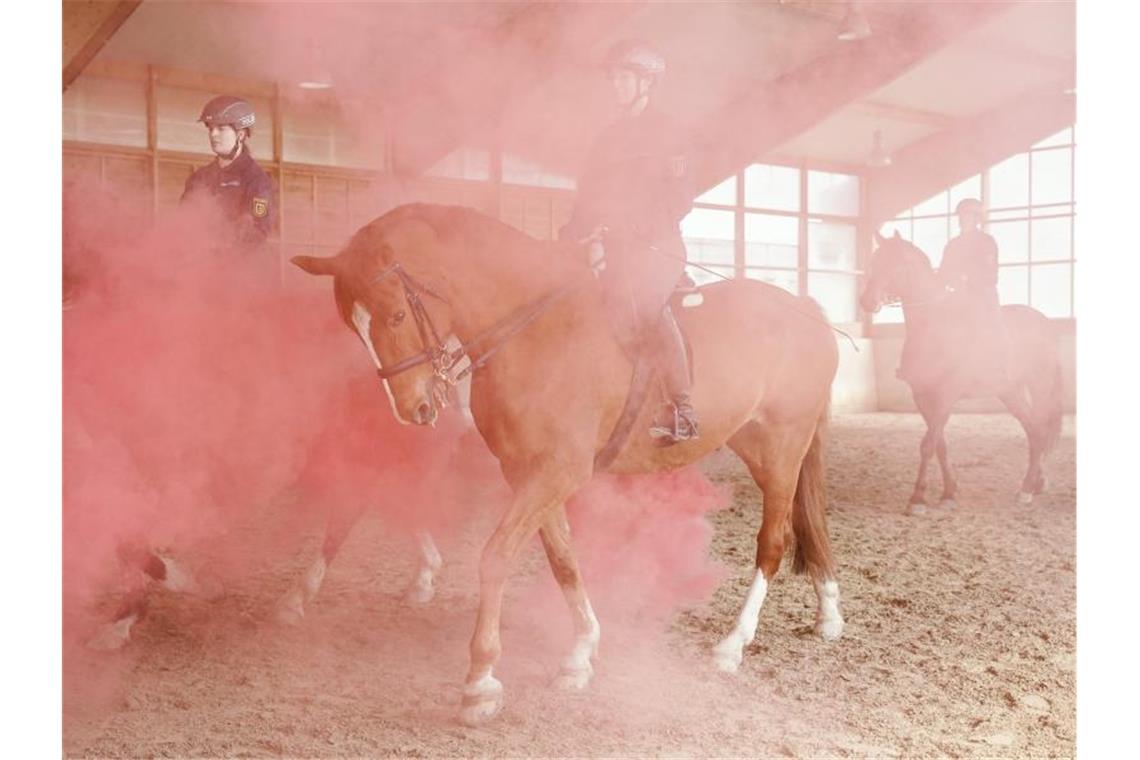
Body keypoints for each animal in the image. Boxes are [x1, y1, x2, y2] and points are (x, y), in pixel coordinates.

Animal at [294, 201, 848, 724]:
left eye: (395, 316)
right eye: (353, 326)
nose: (415, 409)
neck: (534, 328)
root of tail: (804, 307)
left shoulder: (556, 471)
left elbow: (495, 557)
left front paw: (480, 682)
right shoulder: (529, 472)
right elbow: (563, 558)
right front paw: (580, 654)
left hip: (783, 446)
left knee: (774, 541)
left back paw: (733, 644)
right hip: (759, 446)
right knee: (809, 521)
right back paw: (828, 613)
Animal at [857, 232, 1062, 517]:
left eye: (897, 265)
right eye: (875, 262)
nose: (867, 301)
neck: (933, 327)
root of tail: (1045, 323)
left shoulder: (946, 395)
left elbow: (928, 445)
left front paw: (917, 499)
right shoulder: (922, 396)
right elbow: (940, 445)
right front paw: (949, 492)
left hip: (1040, 386)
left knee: (1040, 429)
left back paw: (1027, 490)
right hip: (1010, 392)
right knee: (1033, 430)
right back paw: (1033, 484)